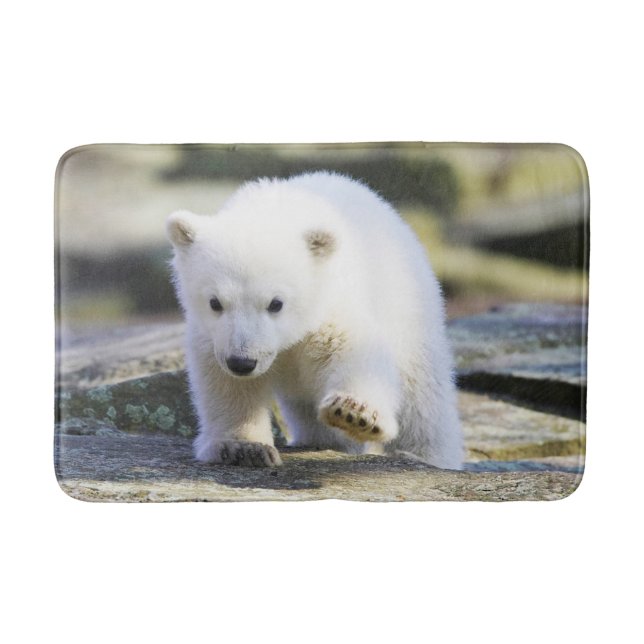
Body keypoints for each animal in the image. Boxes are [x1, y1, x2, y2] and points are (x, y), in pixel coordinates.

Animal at [166, 171, 463, 469]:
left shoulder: (329, 304)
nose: (242, 362)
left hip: (408, 308)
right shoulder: (213, 336)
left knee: (422, 397)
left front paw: (354, 413)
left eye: (276, 303)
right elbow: (228, 385)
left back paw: (425, 455)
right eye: (215, 302)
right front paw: (244, 447)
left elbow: (354, 349)